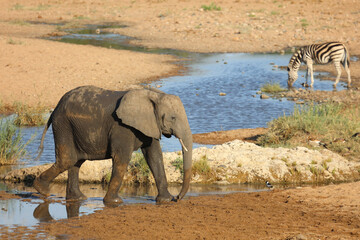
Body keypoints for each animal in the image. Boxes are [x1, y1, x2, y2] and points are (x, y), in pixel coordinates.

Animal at [32, 85, 193, 205]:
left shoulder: (149, 124)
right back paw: (42, 189)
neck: (153, 95)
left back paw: (78, 198)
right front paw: (115, 202)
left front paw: (165, 200)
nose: (177, 198)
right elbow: (122, 158)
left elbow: (154, 156)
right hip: (63, 124)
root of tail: (55, 108)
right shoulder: (121, 127)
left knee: (75, 161)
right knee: (68, 159)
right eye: (173, 118)